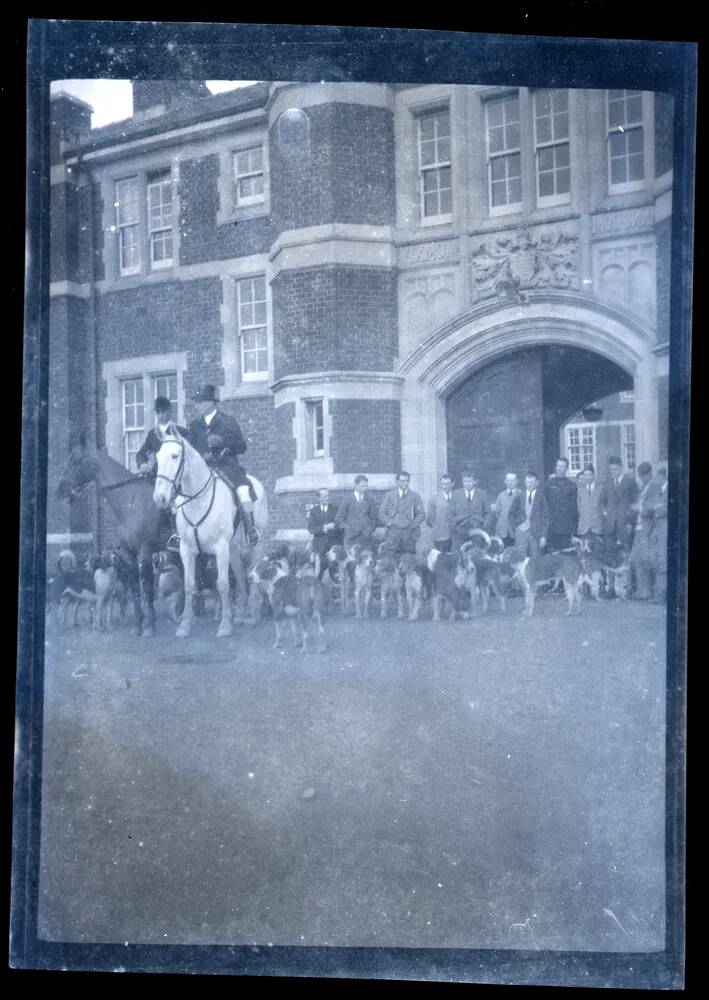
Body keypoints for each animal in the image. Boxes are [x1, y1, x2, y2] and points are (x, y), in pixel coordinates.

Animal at [56, 442, 164, 636]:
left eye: (75, 461)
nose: (59, 489)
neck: (131, 502)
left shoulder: (145, 550)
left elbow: (147, 586)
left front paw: (149, 626)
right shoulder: (129, 554)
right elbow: (135, 587)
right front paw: (138, 625)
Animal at [153, 426, 266, 636]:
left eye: (174, 455)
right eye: (157, 457)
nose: (160, 498)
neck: (199, 501)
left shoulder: (220, 547)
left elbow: (222, 584)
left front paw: (225, 625)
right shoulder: (187, 550)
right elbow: (189, 585)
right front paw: (185, 625)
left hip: (255, 545)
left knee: (251, 576)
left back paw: (250, 616)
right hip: (233, 549)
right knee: (240, 576)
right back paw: (241, 614)